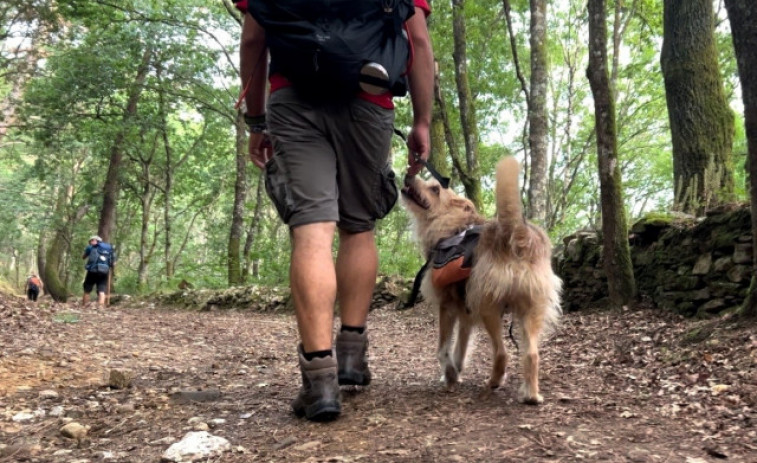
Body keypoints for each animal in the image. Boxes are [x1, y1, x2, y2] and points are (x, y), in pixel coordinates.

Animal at [402, 158, 560, 404]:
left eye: (435, 189)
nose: (408, 175)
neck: (452, 226)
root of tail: (516, 232)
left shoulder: (447, 306)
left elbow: (443, 349)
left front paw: (449, 375)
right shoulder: (465, 314)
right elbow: (460, 347)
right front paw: (456, 372)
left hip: (489, 307)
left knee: (502, 353)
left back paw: (494, 383)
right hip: (531, 310)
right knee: (531, 354)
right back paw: (531, 395)